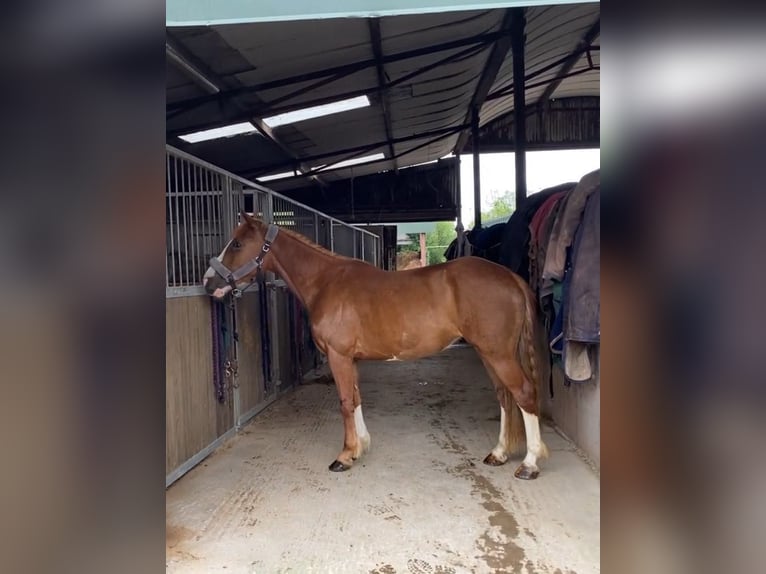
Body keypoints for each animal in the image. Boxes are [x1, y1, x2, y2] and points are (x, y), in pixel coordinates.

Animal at [207, 214, 548, 480]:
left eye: (236, 244)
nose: (209, 282)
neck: (325, 282)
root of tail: (510, 277)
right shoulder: (350, 359)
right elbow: (356, 398)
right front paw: (361, 446)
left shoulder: (338, 356)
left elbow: (345, 402)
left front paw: (344, 456)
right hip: (489, 354)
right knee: (505, 396)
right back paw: (499, 453)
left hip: (498, 354)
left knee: (523, 394)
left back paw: (529, 464)